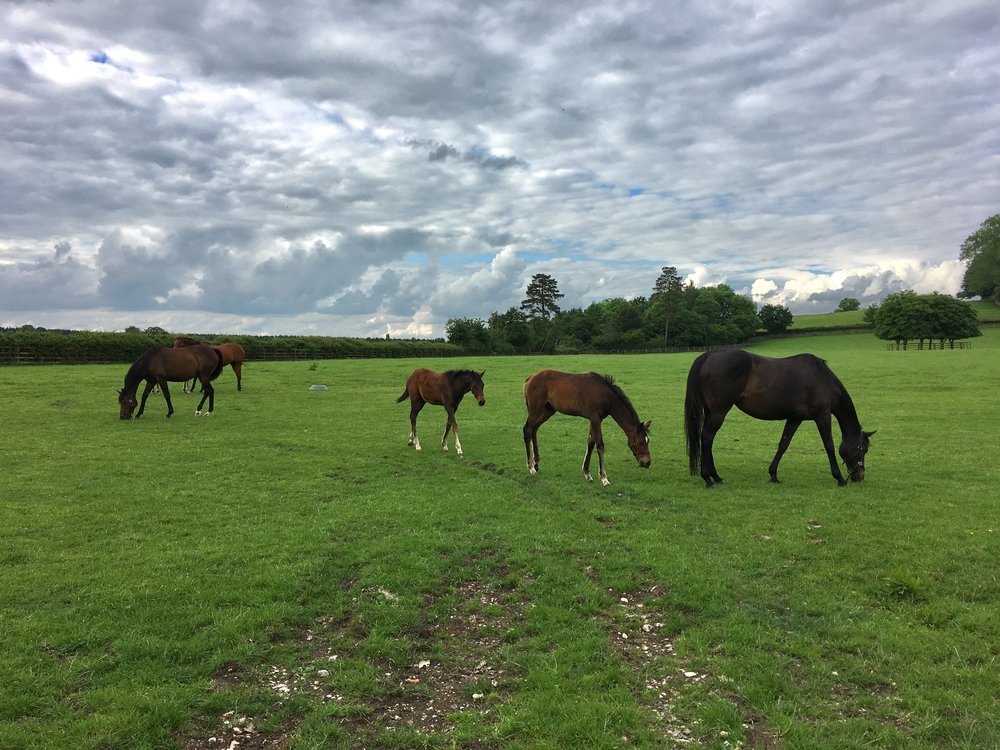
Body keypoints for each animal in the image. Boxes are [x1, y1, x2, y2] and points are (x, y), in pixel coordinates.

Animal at [520, 372, 652, 488]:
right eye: (640, 442)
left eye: (648, 441)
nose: (647, 462)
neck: (605, 395)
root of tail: (530, 378)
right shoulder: (595, 418)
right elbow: (599, 445)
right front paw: (604, 478)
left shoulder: (595, 419)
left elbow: (590, 442)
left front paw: (587, 474)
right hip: (536, 410)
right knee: (527, 430)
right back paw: (531, 467)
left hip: (548, 410)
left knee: (534, 429)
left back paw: (536, 463)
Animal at [684, 352, 872, 490]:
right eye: (863, 448)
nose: (860, 476)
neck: (823, 379)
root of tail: (709, 355)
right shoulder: (822, 416)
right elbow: (829, 446)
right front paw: (839, 478)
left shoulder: (795, 418)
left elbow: (783, 444)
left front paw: (773, 474)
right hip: (719, 411)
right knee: (707, 438)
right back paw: (708, 479)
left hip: (711, 412)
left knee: (706, 440)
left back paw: (716, 477)